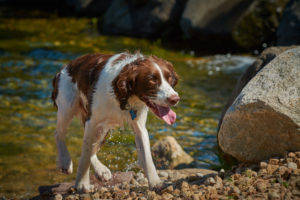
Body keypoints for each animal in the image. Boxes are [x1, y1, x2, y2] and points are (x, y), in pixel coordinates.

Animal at [51, 51, 180, 191]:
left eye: (169, 79)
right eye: (151, 80)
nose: (175, 99)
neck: (124, 95)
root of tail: (66, 66)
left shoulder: (139, 126)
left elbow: (147, 157)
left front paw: (156, 182)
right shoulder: (92, 122)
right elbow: (85, 156)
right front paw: (82, 183)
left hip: (102, 128)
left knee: (92, 147)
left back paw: (101, 170)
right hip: (67, 107)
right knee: (59, 134)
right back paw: (65, 161)